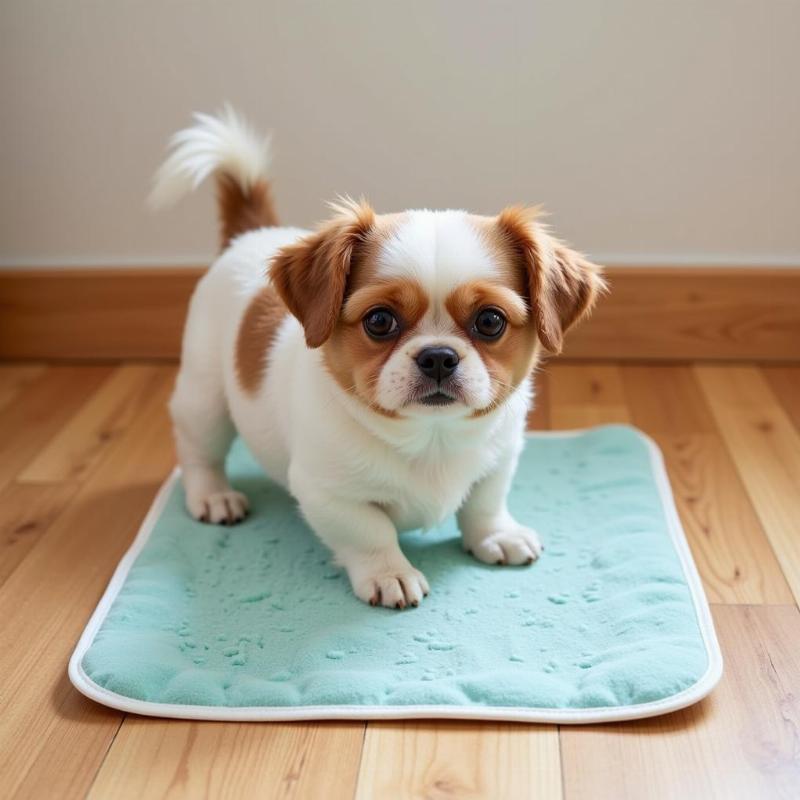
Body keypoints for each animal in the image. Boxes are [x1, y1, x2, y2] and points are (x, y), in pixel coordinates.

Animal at [150, 104, 604, 608]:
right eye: (380, 321)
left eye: (490, 321)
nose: (439, 356)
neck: (432, 440)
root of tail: (252, 234)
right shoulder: (328, 493)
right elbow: (370, 533)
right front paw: (390, 573)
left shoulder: (500, 459)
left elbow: (485, 503)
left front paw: (496, 535)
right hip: (205, 398)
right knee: (198, 450)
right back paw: (213, 496)